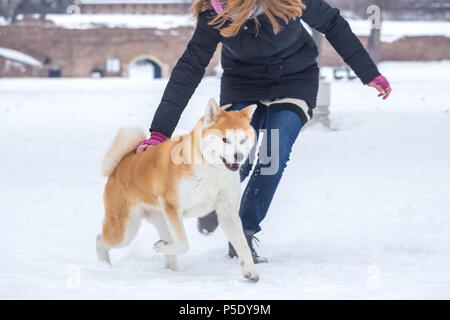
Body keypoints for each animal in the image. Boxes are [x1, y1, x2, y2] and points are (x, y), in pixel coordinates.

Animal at [97, 99, 260, 282]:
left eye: (243, 140)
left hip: (160, 222)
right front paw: (160, 247)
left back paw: (173, 271)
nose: (239, 156)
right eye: (225, 139)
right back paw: (104, 265)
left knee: (169, 254)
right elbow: (183, 244)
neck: (210, 168)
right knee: (100, 241)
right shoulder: (172, 206)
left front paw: (250, 272)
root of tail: (119, 165)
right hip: (125, 231)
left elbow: (242, 245)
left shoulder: (227, 210)